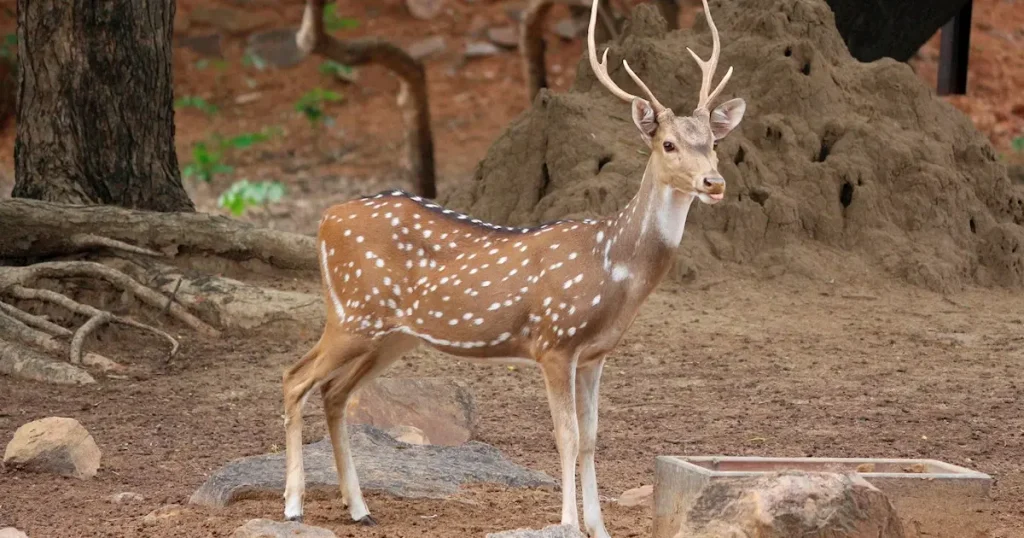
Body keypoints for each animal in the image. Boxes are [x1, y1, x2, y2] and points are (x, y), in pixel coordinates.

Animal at [281, 0, 745, 535]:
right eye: (668, 144)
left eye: (713, 141)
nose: (713, 182)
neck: (612, 266)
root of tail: (325, 220)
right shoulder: (554, 343)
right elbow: (566, 435)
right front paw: (568, 523)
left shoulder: (595, 355)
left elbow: (591, 438)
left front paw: (600, 527)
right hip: (352, 314)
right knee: (295, 378)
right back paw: (293, 505)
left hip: (392, 335)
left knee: (334, 393)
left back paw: (359, 508)